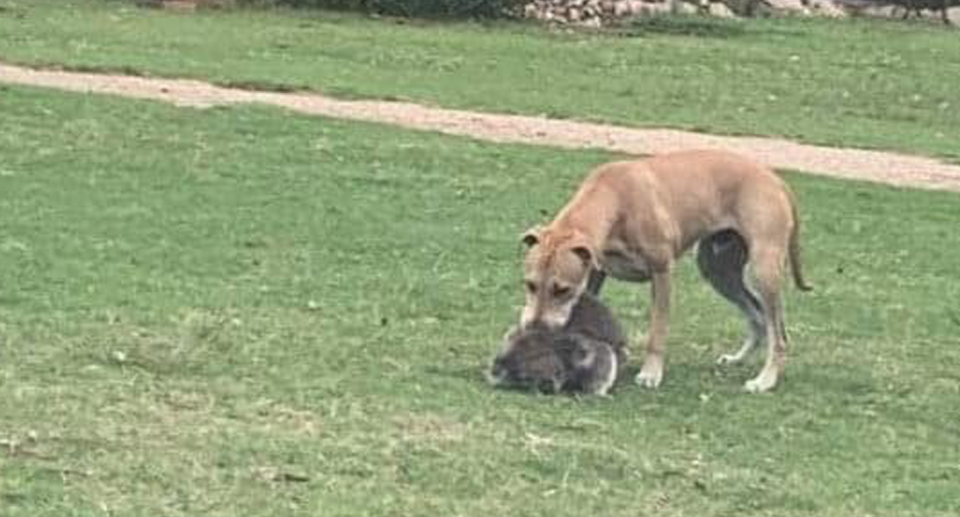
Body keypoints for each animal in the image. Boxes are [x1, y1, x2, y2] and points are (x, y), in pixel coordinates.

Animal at [516, 148, 808, 392]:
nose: (535, 327)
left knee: (779, 334)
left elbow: (657, 331)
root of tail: (775, 179)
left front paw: (651, 373)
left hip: (763, 270)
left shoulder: (661, 272)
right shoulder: (595, 273)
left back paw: (765, 380)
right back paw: (738, 358)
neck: (615, 199)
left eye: (561, 289)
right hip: (717, 269)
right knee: (758, 317)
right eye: (530, 284)